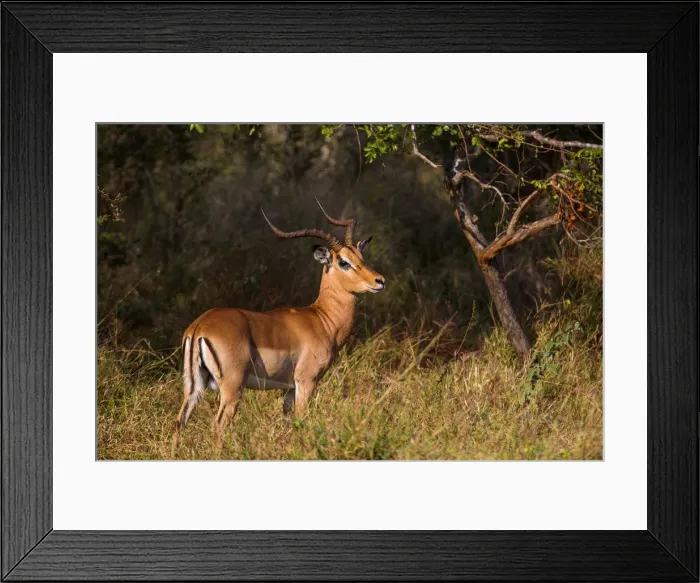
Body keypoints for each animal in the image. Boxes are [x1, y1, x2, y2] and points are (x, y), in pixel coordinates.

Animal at [172, 200, 386, 451]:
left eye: (361, 256)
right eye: (343, 262)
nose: (379, 281)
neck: (322, 319)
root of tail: (199, 327)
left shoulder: (289, 389)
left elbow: (292, 423)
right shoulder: (306, 382)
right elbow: (304, 419)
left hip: (194, 387)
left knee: (180, 421)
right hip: (232, 389)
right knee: (218, 425)